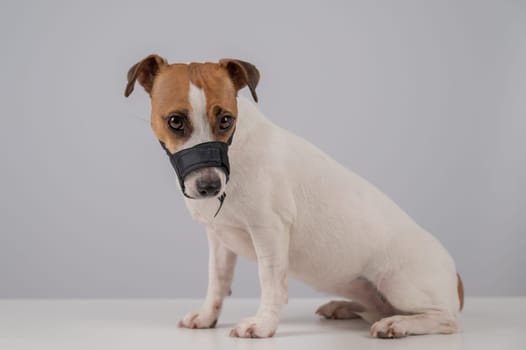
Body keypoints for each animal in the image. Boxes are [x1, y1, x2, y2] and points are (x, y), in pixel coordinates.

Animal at [125, 55, 466, 340]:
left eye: (226, 120)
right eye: (175, 121)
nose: (209, 185)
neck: (234, 154)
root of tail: (457, 281)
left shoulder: (269, 231)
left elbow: (271, 283)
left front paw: (263, 324)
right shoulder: (219, 238)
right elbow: (217, 281)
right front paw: (208, 317)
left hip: (398, 282)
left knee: (443, 319)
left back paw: (398, 324)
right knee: (377, 307)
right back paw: (345, 307)